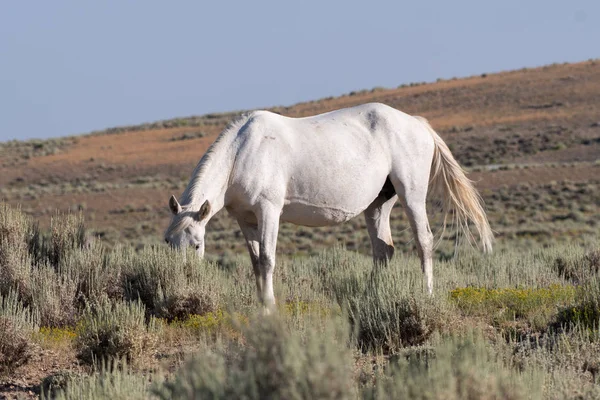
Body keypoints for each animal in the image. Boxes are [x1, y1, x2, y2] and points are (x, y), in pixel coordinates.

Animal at [164, 102, 492, 312]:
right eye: (168, 242)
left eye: (196, 245)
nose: (182, 286)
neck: (243, 151)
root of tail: (417, 123)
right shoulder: (246, 219)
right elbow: (256, 262)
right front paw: (260, 306)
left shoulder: (269, 211)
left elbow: (268, 259)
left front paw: (269, 307)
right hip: (378, 203)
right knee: (383, 249)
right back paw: (373, 297)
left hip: (411, 194)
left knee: (423, 241)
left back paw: (426, 294)